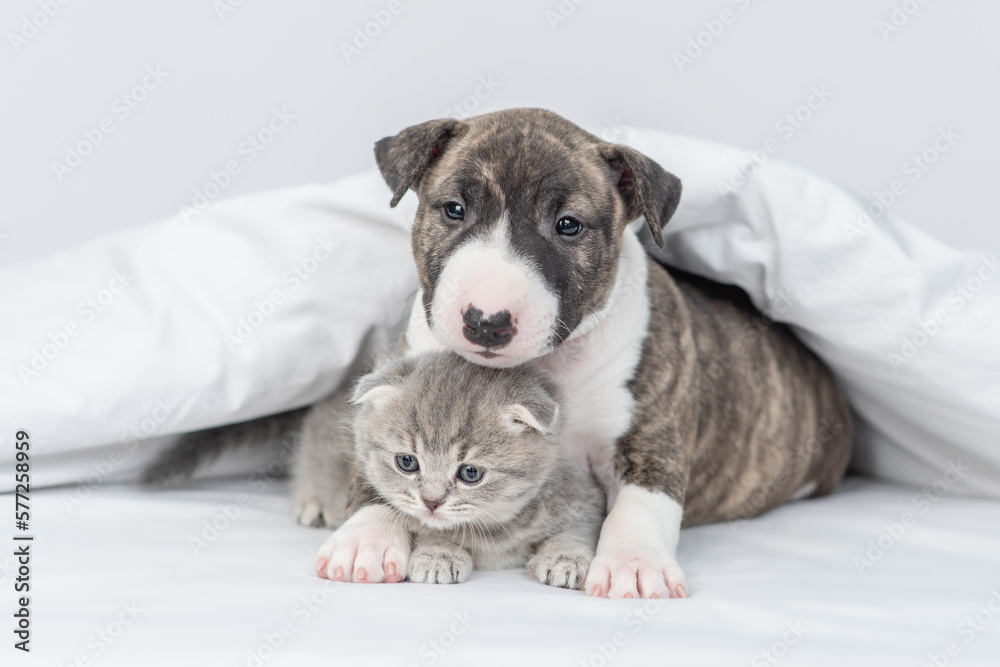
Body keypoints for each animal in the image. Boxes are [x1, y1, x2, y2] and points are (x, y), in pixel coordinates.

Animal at [312, 352, 604, 588]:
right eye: (407, 462)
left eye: (470, 473)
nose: (431, 502)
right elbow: (431, 531)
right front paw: (438, 554)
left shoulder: (582, 497)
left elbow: (576, 530)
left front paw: (565, 557)